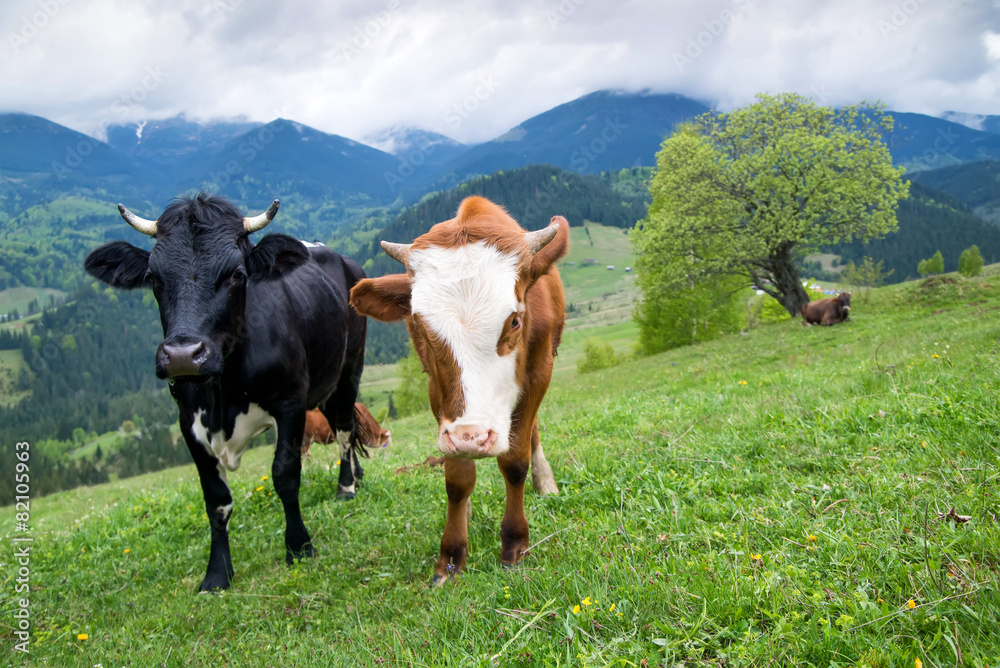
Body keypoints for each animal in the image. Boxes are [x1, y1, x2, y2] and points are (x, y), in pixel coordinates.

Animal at [85, 193, 368, 588]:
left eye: (237, 274)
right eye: (153, 277)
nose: (183, 355)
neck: (223, 394)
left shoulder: (291, 402)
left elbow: (285, 474)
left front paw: (299, 547)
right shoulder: (187, 422)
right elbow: (215, 498)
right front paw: (217, 573)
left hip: (349, 370)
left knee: (344, 428)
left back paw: (346, 487)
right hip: (324, 384)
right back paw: (356, 475)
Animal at [352, 193, 572, 584]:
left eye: (514, 321)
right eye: (421, 326)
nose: (471, 437)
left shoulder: (539, 376)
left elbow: (515, 461)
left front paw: (514, 544)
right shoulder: (437, 393)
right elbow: (457, 478)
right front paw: (452, 557)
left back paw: (544, 481)